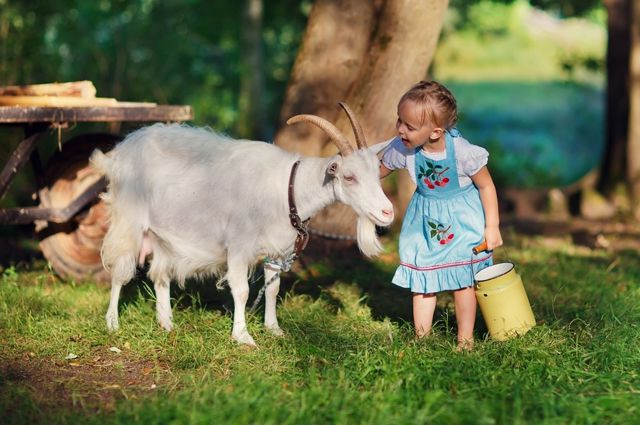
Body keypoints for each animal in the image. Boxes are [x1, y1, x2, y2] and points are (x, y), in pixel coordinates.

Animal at [87, 102, 392, 344]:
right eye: (349, 177)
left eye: (378, 173)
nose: (387, 212)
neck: (286, 187)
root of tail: (121, 151)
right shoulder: (238, 246)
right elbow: (243, 291)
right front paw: (243, 337)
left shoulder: (277, 249)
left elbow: (273, 289)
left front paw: (274, 329)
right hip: (128, 221)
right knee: (120, 273)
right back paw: (113, 324)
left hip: (163, 234)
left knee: (160, 275)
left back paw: (167, 323)